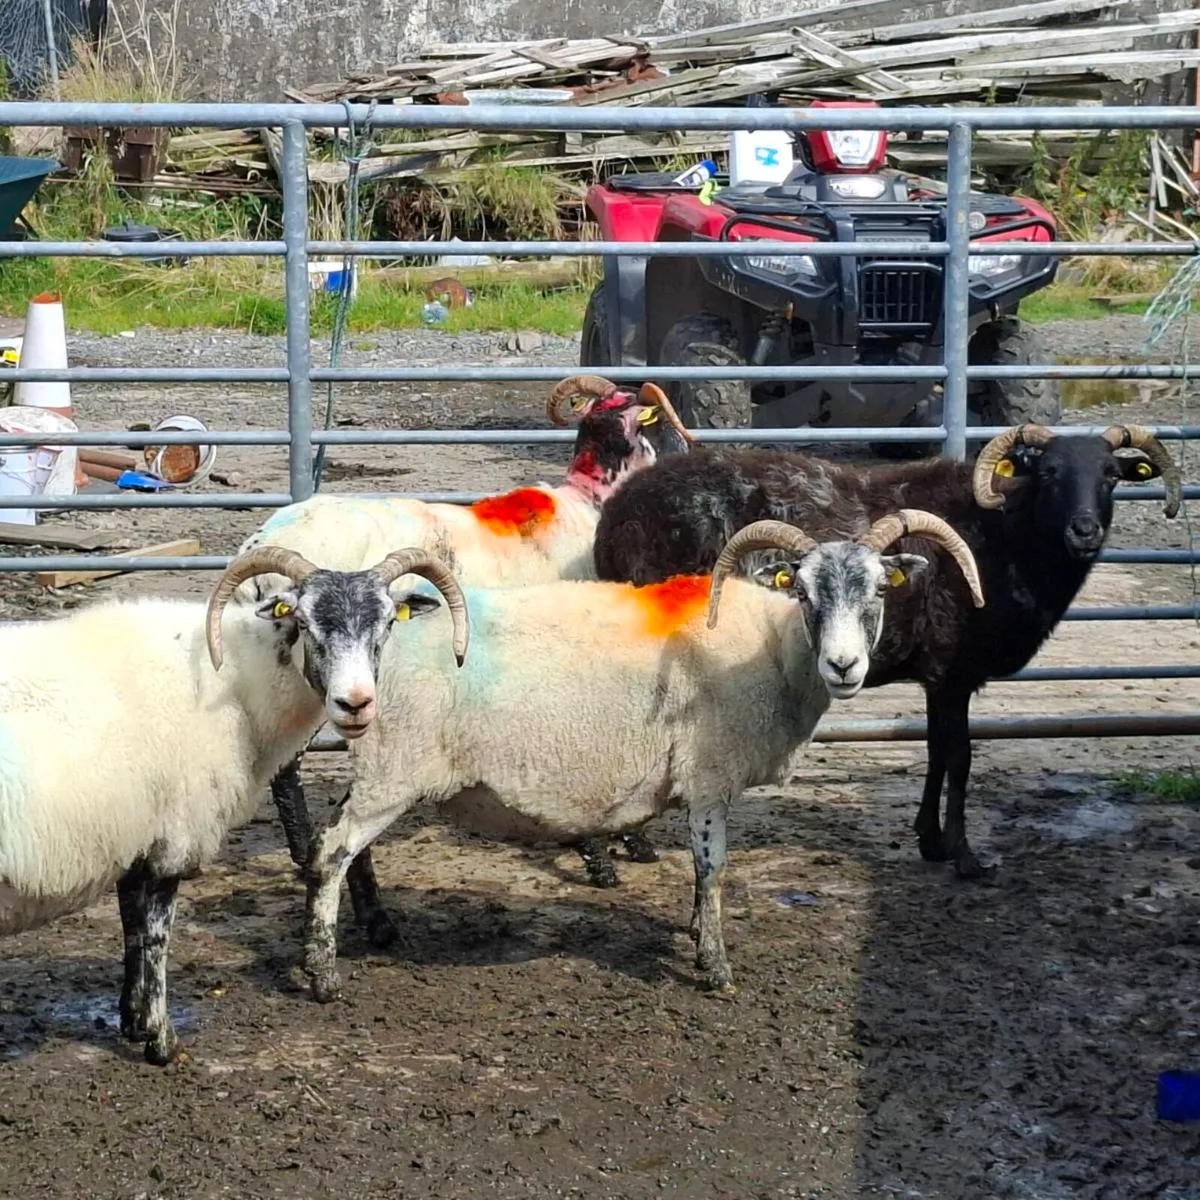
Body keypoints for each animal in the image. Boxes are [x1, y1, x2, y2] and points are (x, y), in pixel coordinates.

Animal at [0, 544, 467, 1064]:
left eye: (387, 623)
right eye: (303, 621)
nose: (355, 704)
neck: (237, 680)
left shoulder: (139, 830)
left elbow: (131, 926)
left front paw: (132, 1019)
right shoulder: (176, 833)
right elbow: (157, 934)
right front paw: (161, 1041)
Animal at [235, 374, 694, 925]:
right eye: (648, 424)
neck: (591, 501)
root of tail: (257, 552)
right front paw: (608, 852)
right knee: (290, 770)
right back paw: (319, 867)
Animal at [295, 510, 984, 1002]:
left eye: (878, 592)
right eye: (807, 595)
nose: (844, 666)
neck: (772, 649)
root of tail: (375, 653)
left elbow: (704, 876)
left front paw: (696, 930)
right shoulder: (709, 776)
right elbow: (712, 869)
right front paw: (714, 967)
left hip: (382, 767)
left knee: (342, 837)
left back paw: (378, 928)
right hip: (397, 767)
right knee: (332, 849)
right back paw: (322, 973)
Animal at [590, 422, 1182, 880]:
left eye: (1110, 476)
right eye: (1049, 473)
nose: (1085, 530)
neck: (1006, 535)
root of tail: (614, 515)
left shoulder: (940, 677)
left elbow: (938, 753)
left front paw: (931, 840)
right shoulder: (952, 671)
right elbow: (959, 757)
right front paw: (964, 856)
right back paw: (618, 853)